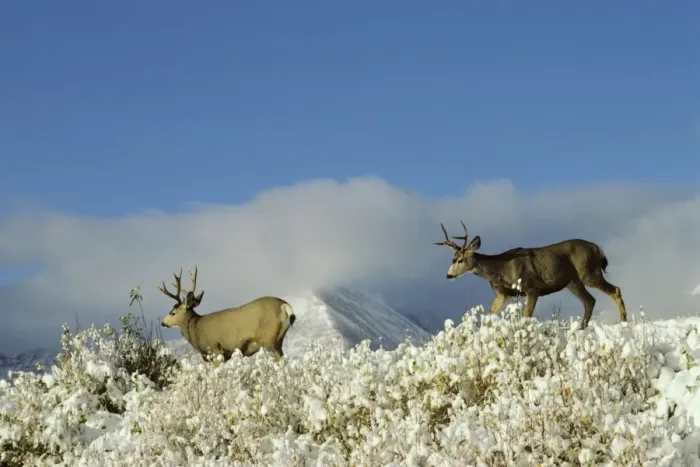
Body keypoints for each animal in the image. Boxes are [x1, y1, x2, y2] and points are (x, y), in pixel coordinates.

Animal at [157, 266, 296, 363]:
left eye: (172, 312)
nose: (163, 323)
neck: (196, 329)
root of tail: (284, 305)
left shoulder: (214, 349)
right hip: (278, 340)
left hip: (268, 339)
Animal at [433, 221, 627, 330]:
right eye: (452, 258)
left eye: (459, 260)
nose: (448, 275)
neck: (500, 269)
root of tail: (597, 248)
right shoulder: (503, 295)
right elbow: (488, 316)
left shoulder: (532, 288)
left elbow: (526, 317)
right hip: (573, 282)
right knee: (590, 301)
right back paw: (581, 329)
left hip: (588, 273)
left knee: (615, 290)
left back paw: (624, 323)